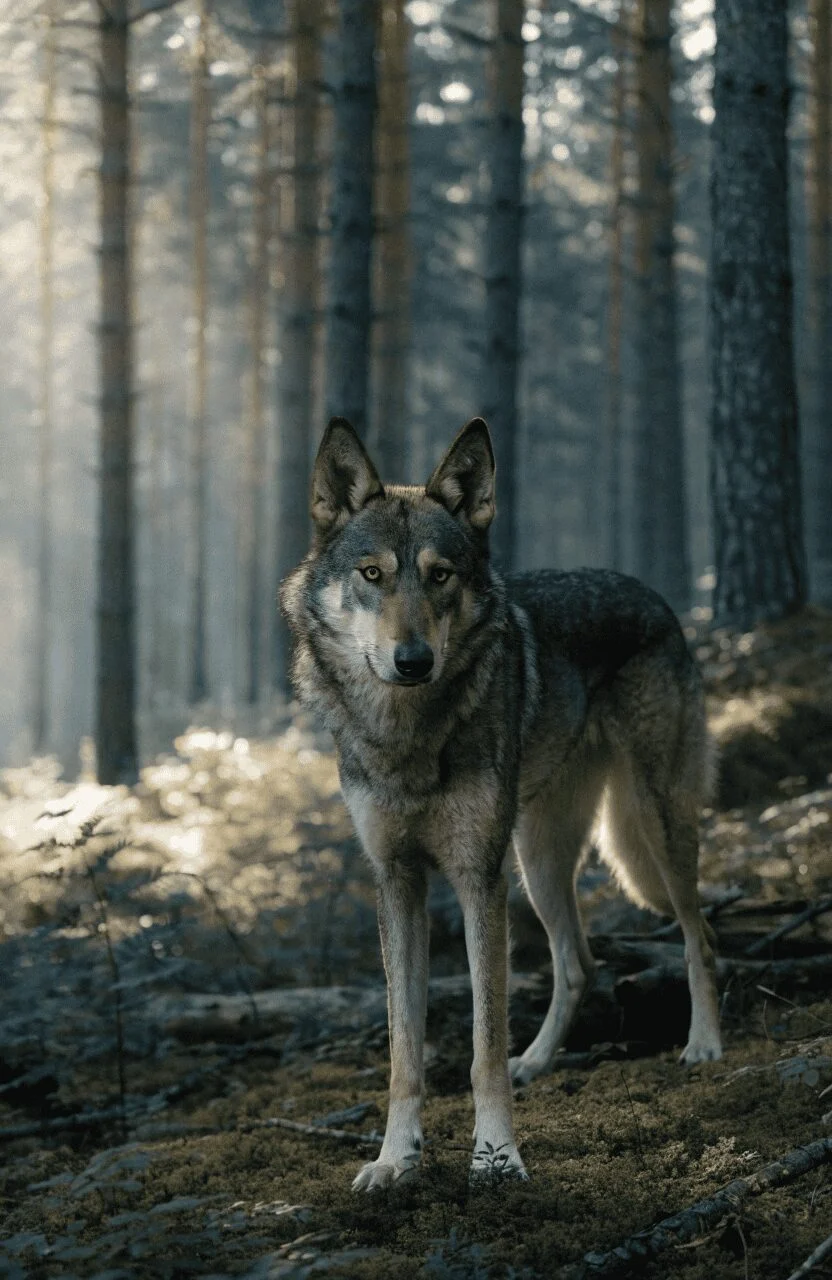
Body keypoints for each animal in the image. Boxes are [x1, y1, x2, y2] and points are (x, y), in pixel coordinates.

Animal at [280, 416, 722, 1191]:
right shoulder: (397, 882)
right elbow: (404, 1051)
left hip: (652, 827)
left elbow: (482, 1047)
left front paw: (495, 1157)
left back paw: (702, 1044)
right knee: (579, 963)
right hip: (538, 860)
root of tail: (652, 594)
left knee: (699, 937)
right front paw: (394, 1160)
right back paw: (539, 1062)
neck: (409, 733)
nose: (414, 661)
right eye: (373, 575)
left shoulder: (475, 879)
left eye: (440, 575)